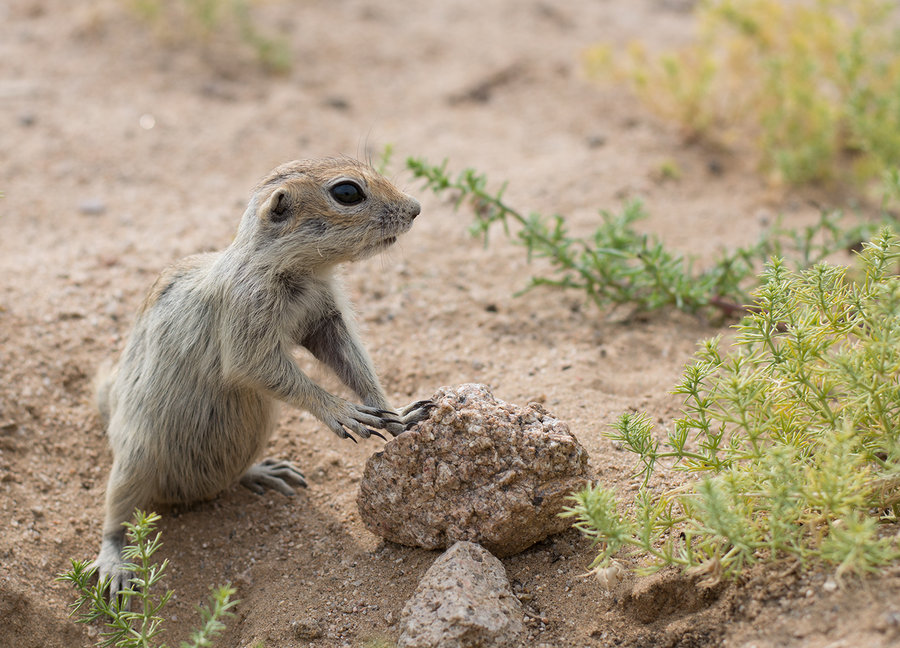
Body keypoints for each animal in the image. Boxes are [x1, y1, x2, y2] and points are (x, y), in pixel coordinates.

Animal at [93, 159, 430, 596]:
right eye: (347, 193)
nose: (416, 208)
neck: (302, 270)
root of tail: (190, 493)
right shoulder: (246, 315)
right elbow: (258, 367)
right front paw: (344, 412)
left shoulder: (326, 318)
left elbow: (352, 362)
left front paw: (398, 414)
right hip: (134, 460)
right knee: (115, 517)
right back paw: (114, 565)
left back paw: (266, 473)